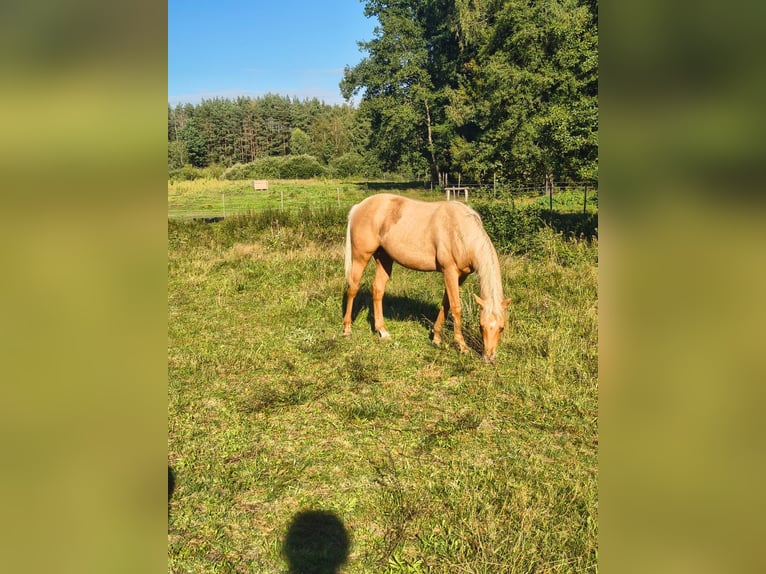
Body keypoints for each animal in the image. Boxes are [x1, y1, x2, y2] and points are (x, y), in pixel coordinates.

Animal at [343, 193, 511, 362]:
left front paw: (436, 338)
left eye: (502, 328)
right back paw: (347, 329)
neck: (460, 231)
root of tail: (359, 206)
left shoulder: (459, 276)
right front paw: (463, 346)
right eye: (481, 326)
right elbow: (456, 307)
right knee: (353, 288)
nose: (489, 357)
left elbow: (446, 304)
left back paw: (382, 332)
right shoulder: (449, 271)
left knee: (378, 290)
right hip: (360, 257)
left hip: (384, 258)